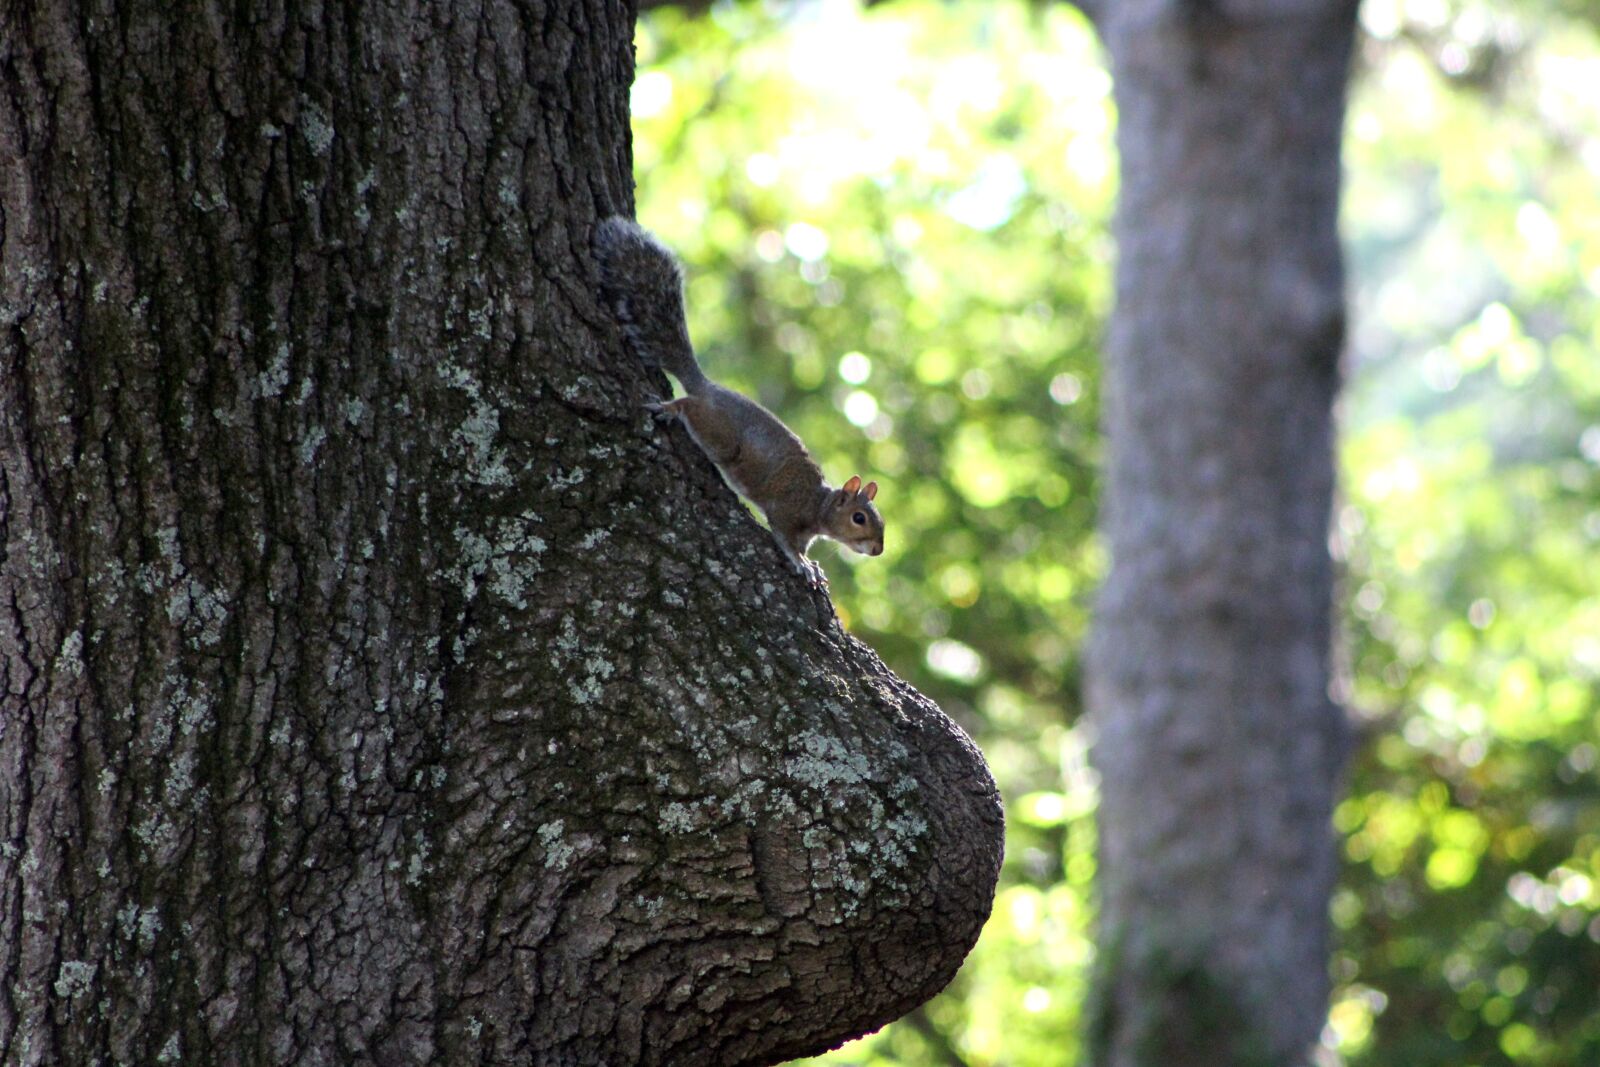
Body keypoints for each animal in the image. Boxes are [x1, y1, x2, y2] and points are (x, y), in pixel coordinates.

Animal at [593, 215, 885, 585]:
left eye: (881, 521)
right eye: (859, 518)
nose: (878, 550)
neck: (817, 504)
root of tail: (709, 388)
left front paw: (811, 563)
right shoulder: (786, 512)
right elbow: (785, 539)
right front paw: (801, 564)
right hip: (720, 435)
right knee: (690, 407)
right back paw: (669, 409)